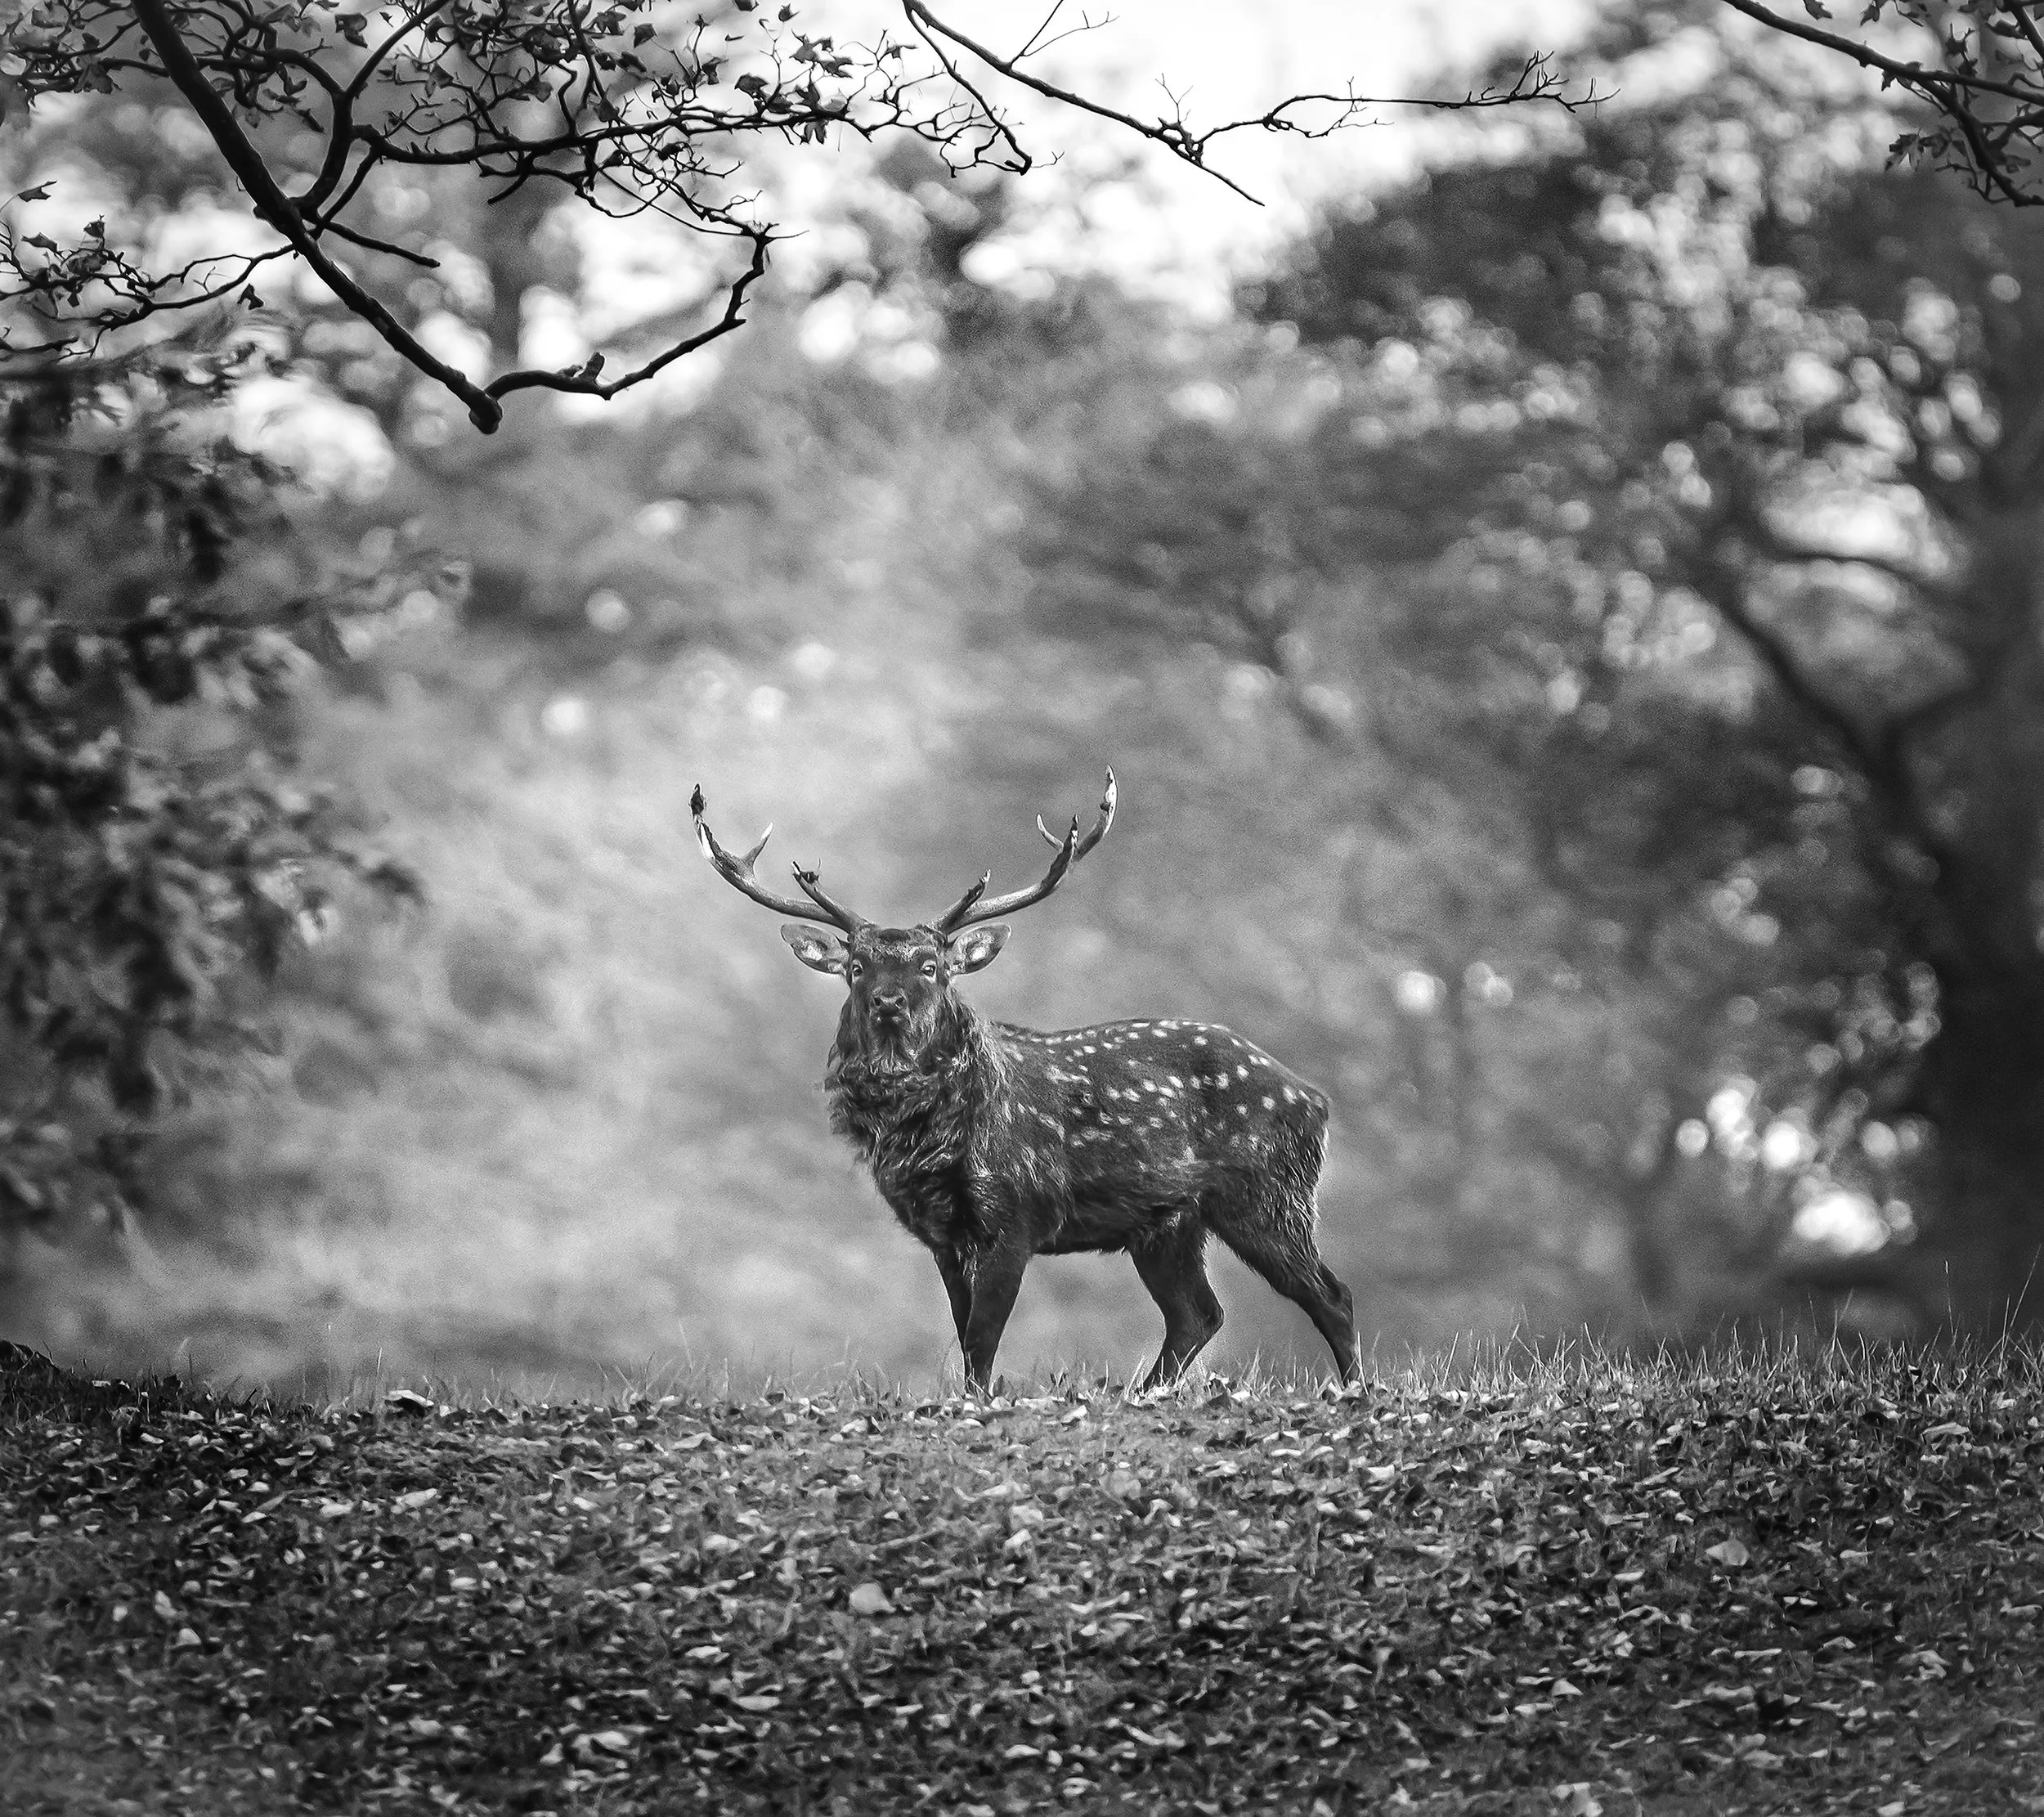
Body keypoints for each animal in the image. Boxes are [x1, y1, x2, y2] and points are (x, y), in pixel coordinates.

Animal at [689, 772, 1358, 1395]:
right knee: (1199, 1314)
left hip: (1271, 1194)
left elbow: (983, 1339)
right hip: (1168, 1223)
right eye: (856, 966)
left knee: (1331, 1295)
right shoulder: (941, 1233)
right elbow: (965, 1336)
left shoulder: (1018, 1215)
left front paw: (977, 1405)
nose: (888, 1002)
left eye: (931, 967)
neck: (932, 1142)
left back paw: (1354, 1390)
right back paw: (1143, 1394)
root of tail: (1316, 1099)